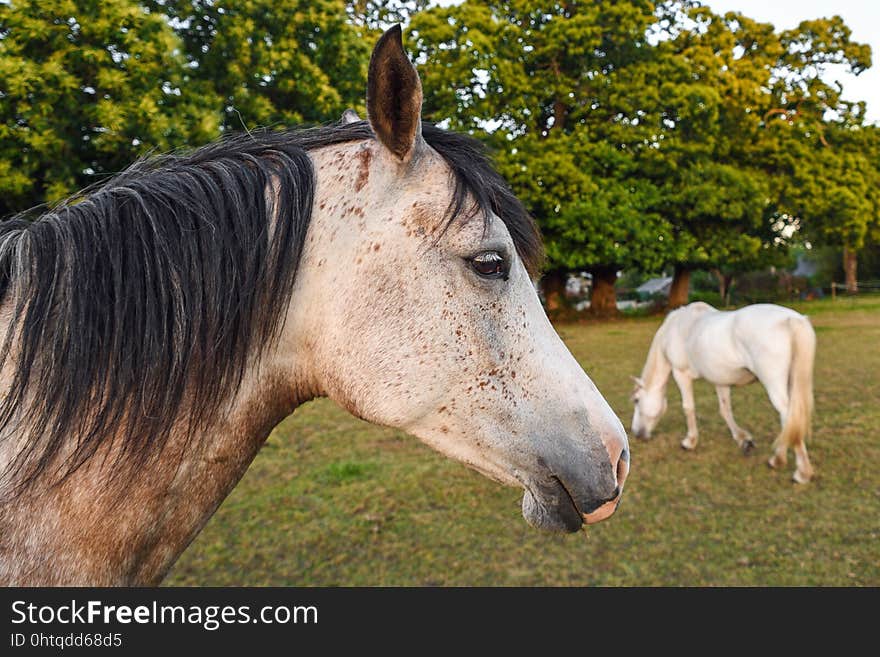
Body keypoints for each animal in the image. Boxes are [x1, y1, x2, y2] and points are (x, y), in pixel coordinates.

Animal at [628, 302, 816, 482]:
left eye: (636, 400)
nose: (636, 433)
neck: (678, 327)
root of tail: (792, 320)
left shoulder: (681, 374)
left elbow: (688, 407)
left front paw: (690, 442)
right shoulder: (721, 380)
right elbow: (725, 410)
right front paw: (743, 439)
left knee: (788, 416)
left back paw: (797, 470)